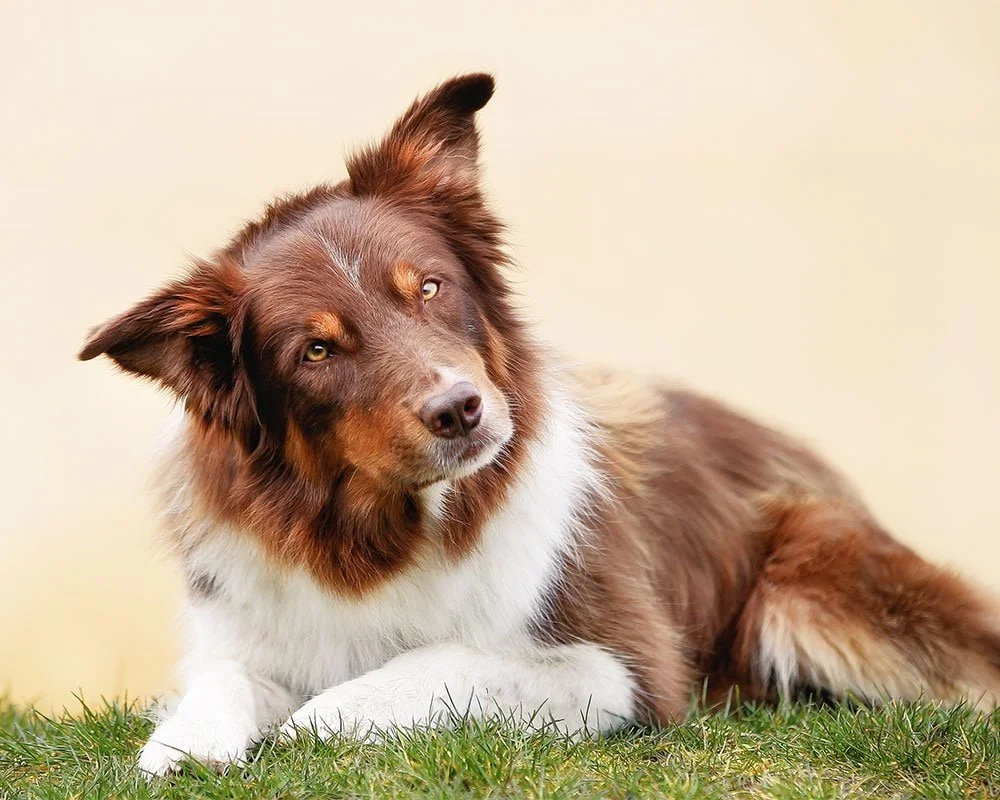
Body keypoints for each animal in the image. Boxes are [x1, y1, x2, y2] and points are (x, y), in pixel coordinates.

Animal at [80, 73, 1000, 776]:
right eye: (315, 349)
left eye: (430, 287)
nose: (461, 409)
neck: (389, 531)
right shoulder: (246, 625)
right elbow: (222, 682)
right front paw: (184, 744)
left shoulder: (625, 667)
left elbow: (443, 661)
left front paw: (323, 717)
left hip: (810, 575)